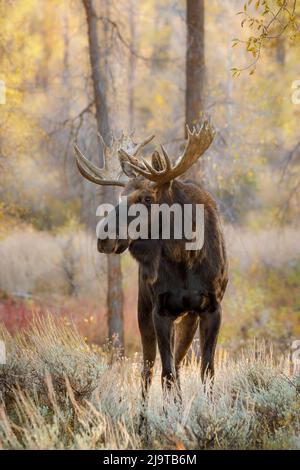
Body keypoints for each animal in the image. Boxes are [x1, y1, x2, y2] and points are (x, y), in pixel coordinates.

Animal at [74, 119, 227, 402]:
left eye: (147, 198)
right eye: (120, 196)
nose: (104, 239)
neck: (185, 258)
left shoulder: (212, 307)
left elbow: (207, 371)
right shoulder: (160, 309)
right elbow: (165, 374)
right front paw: (171, 411)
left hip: (188, 317)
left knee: (178, 362)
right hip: (142, 308)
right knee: (148, 369)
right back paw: (143, 410)